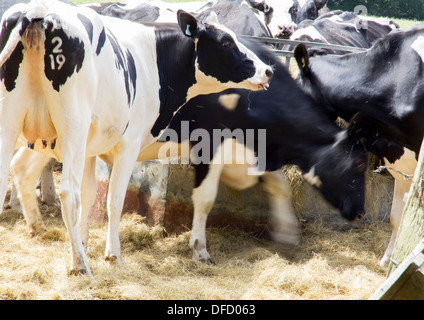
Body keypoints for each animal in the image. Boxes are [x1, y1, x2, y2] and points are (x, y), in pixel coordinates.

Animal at [0, 0, 272, 276]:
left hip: (13, 123)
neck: (152, 61)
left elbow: (89, 196)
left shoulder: (90, 146)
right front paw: (112, 255)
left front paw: (84, 244)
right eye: (226, 42)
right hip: (71, 126)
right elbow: (114, 200)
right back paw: (80, 266)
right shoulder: (130, 145)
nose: (268, 71)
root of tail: (39, 10)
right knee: (69, 193)